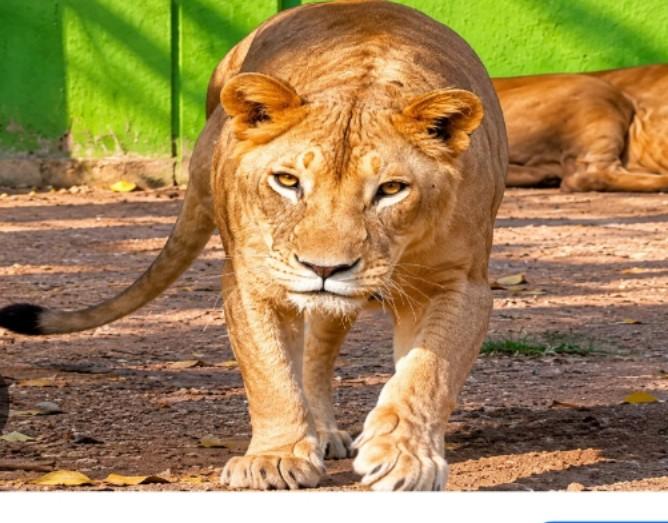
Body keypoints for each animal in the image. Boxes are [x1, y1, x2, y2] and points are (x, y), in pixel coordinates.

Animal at [0, 0, 506, 490]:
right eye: (288, 181)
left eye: (391, 189)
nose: (324, 269)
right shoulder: (251, 280)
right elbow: (270, 373)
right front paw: (276, 459)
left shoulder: (461, 284)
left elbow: (426, 374)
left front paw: (404, 456)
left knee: (320, 355)